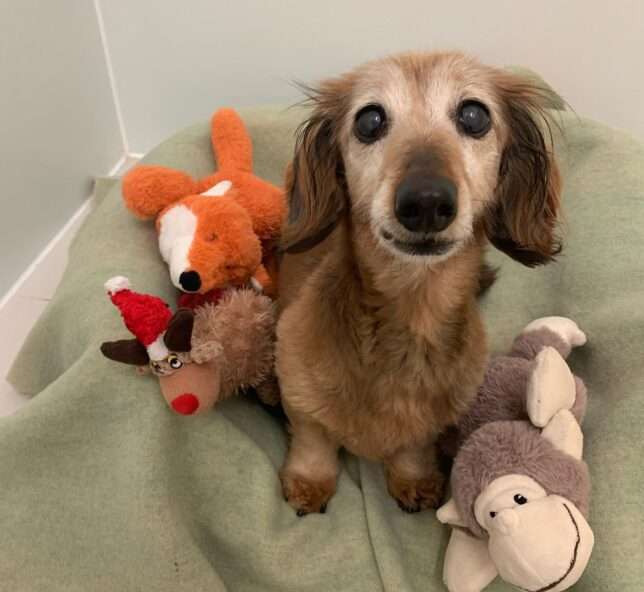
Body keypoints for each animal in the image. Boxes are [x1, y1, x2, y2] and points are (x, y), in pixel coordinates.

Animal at [274, 51, 560, 516]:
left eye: (474, 115)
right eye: (369, 120)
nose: (426, 201)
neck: (412, 312)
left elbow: (414, 444)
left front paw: (413, 477)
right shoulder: (297, 385)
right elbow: (314, 439)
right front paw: (309, 482)